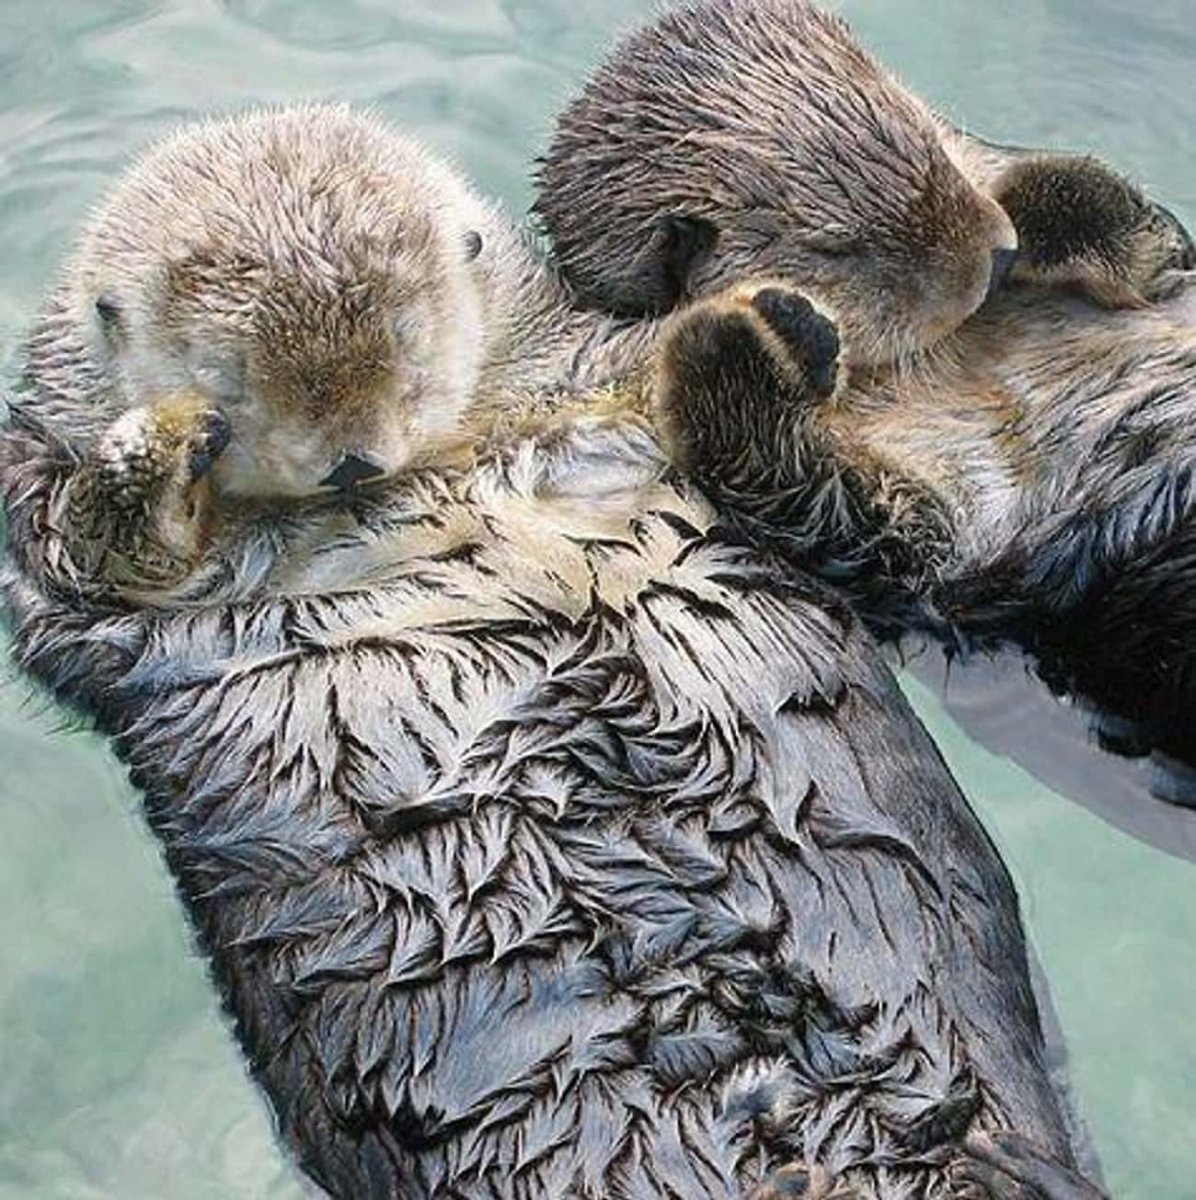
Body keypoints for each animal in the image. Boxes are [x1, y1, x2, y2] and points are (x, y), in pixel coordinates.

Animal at [1, 106, 1103, 1198]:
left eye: (409, 343)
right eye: (231, 380)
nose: (349, 459)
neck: (440, 472)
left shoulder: (587, 385)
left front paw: (782, 315)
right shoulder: (64, 562)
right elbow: (93, 548)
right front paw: (162, 438)